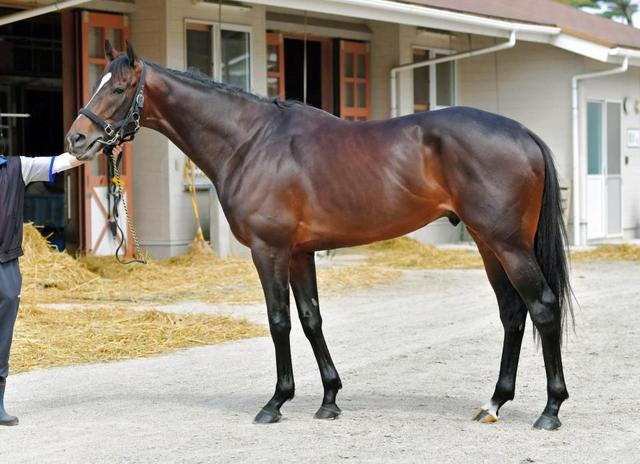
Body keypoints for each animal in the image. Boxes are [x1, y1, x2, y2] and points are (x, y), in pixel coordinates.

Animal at [66, 41, 573, 430]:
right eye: (98, 83)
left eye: (117, 88)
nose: (76, 140)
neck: (251, 142)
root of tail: (523, 133)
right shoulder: (298, 253)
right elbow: (312, 320)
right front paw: (329, 400)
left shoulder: (269, 251)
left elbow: (279, 322)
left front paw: (275, 403)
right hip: (489, 245)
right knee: (512, 314)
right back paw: (494, 403)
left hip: (508, 245)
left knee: (542, 307)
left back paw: (550, 410)